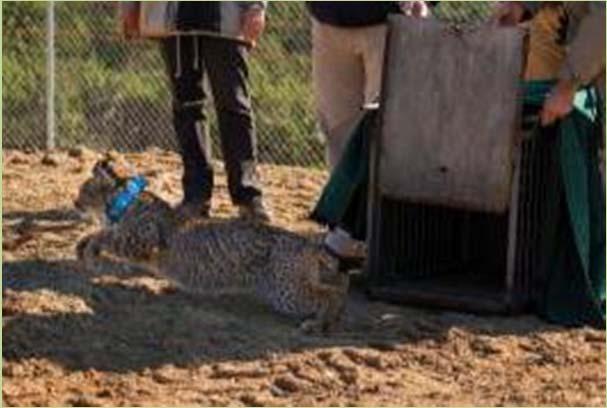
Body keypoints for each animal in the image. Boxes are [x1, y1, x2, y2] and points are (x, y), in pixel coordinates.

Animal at [73, 156, 350, 332]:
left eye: (83, 190)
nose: (75, 203)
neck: (125, 200)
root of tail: (305, 240)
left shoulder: (143, 242)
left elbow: (109, 236)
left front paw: (91, 249)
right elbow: (102, 232)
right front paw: (83, 247)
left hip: (284, 290)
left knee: (331, 294)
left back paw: (319, 323)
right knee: (332, 290)